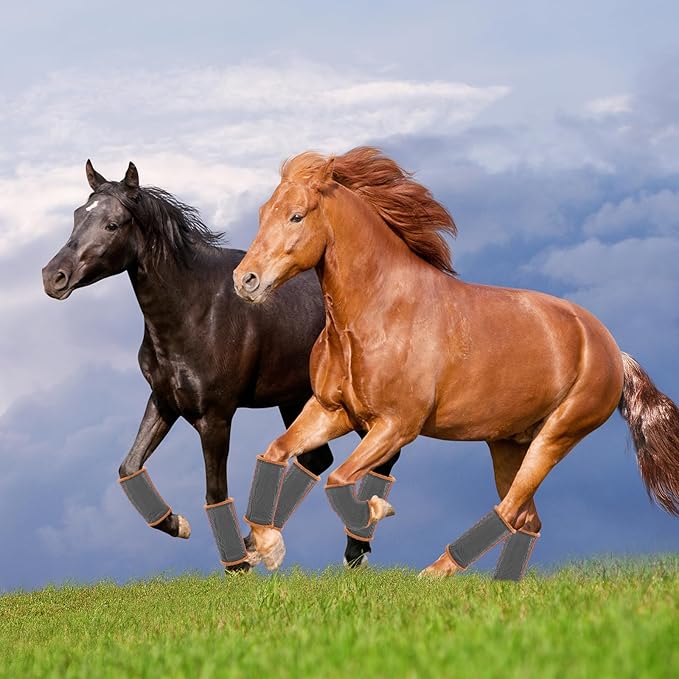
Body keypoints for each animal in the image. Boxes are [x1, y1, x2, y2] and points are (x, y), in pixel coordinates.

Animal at [41, 160, 400, 571]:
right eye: (77, 215)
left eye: (112, 224)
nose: (53, 277)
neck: (196, 311)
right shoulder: (164, 402)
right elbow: (129, 466)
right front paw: (179, 524)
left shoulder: (215, 418)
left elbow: (215, 491)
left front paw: (237, 565)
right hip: (296, 400)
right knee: (318, 456)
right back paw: (264, 542)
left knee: (381, 457)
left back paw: (353, 549)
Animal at [232, 146, 679, 578]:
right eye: (263, 212)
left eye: (296, 215)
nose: (245, 280)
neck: (378, 313)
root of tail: (612, 351)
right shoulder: (332, 411)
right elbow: (276, 452)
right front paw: (268, 548)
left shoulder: (396, 426)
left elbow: (339, 480)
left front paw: (375, 512)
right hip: (508, 444)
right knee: (526, 519)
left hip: (556, 436)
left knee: (509, 510)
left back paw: (435, 572)